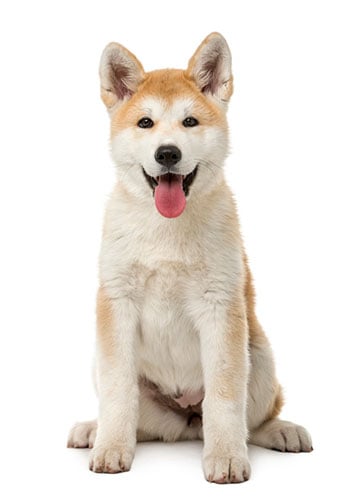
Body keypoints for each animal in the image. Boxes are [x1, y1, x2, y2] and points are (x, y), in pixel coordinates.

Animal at [67, 31, 312, 482]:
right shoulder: (116, 303)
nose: (167, 153)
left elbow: (225, 396)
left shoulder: (220, 307)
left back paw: (281, 431)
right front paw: (111, 448)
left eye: (190, 122)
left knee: (254, 419)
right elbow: (118, 391)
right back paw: (93, 429)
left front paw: (227, 457)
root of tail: (185, 419)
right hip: (107, 364)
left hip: (259, 356)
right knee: (142, 422)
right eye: (145, 123)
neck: (167, 228)